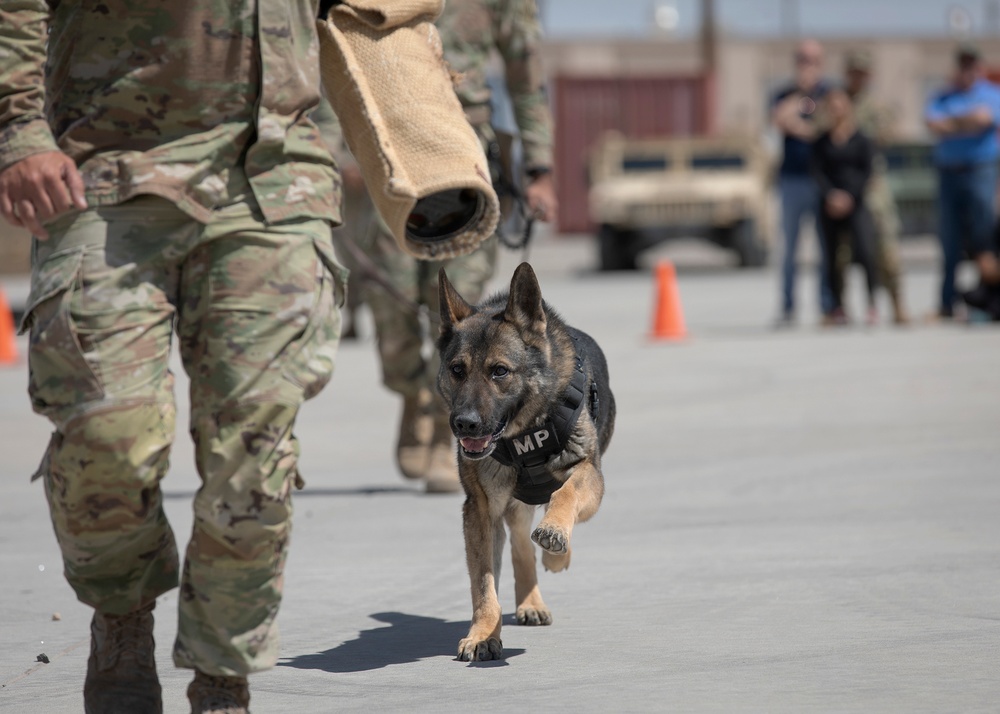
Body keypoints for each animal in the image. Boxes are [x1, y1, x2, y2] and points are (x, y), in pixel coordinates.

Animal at [440, 258, 616, 660]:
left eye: (499, 371)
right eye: (457, 370)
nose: (464, 424)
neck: (524, 434)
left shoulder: (591, 478)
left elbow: (567, 492)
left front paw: (554, 535)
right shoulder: (480, 510)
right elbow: (484, 585)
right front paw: (483, 634)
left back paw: (555, 553)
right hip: (511, 506)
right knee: (521, 546)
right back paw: (530, 600)